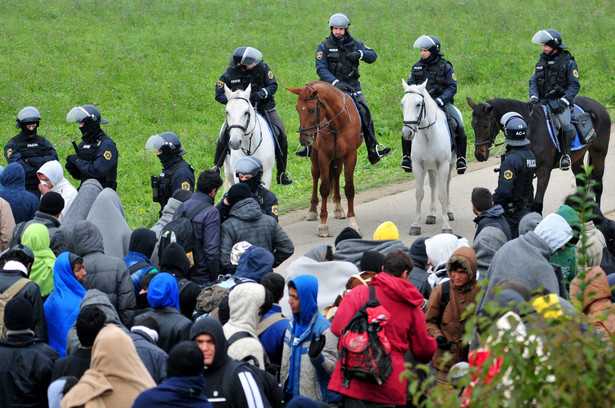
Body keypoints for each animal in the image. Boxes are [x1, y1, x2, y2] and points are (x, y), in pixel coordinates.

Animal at [288, 80, 364, 237]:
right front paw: (323, 224)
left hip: (338, 157)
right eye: (297, 109)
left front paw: (353, 223)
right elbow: (324, 188)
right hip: (315, 155)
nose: (304, 140)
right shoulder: (324, 156)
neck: (337, 124)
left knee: (336, 174)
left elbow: (349, 188)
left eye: (311, 110)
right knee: (316, 175)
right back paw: (312, 210)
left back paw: (338, 207)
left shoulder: (350, 155)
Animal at [400, 79, 458, 234]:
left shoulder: (443, 165)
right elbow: (419, 193)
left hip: (450, 165)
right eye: (402, 104)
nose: (407, 133)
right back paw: (432, 214)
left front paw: (446, 226)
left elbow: (442, 193)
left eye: (418, 104)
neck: (428, 135)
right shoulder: (418, 166)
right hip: (431, 167)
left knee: (447, 184)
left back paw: (449, 212)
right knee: (432, 184)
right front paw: (415, 225)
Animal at [470, 96, 608, 214]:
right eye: (472, 125)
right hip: (577, 159)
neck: (531, 130)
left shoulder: (544, 171)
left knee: (598, 185)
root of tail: (598, 105)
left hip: (599, 154)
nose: (479, 154)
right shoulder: (528, 170)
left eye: (485, 125)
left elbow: (537, 203)